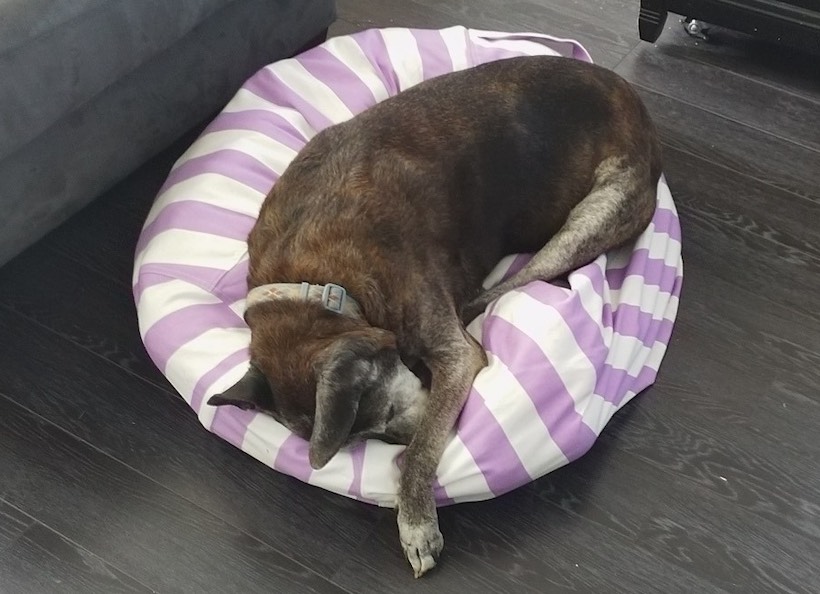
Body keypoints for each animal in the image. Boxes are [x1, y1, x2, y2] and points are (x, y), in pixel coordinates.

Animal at [208, 54, 664, 572]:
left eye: (384, 418)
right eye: (365, 438)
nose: (401, 440)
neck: (316, 281)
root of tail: (635, 102)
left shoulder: (454, 354)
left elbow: (424, 447)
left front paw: (415, 523)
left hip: (597, 212)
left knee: (508, 285)